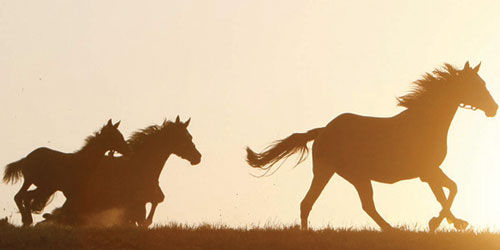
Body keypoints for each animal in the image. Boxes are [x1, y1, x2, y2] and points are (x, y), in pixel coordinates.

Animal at [43, 116, 201, 228]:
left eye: (190, 137)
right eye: (184, 138)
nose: (198, 157)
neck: (140, 167)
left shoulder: (145, 199)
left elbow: (153, 205)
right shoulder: (133, 202)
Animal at [246, 61, 496, 231]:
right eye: (475, 85)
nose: (494, 108)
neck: (424, 123)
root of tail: (323, 130)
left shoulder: (428, 173)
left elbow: (445, 193)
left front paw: (453, 222)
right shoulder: (428, 171)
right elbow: (451, 190)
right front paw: (438, 223)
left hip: (334, 173)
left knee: (313, 203)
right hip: (348, 174)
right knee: (355, 204)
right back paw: (392, 230)